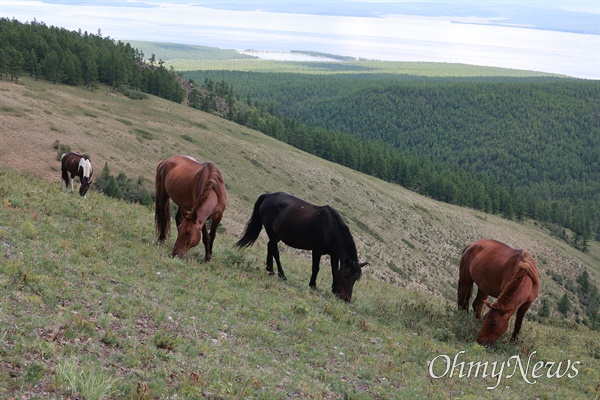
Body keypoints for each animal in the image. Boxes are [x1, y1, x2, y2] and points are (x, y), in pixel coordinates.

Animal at [233, 192, 366, 302]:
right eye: (346, 275)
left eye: (355, 279)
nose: (346, 298)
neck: (331, 228)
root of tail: (268, 196)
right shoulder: (316, 251)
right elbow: (316, 268)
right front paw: (312, 285)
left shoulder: (334, 254)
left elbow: (334, 270)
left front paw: (333, 289)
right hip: (271, 232)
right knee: (275, 251)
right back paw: (282, 274)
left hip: (276, 235)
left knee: (270, 246)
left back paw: (270, 269)